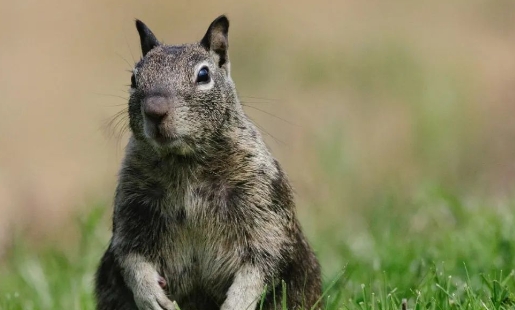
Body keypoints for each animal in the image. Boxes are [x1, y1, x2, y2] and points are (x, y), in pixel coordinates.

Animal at [94, 15, 322, 310]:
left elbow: (263, 260)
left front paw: (237, 303)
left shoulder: (263, 206)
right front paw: (150, 295)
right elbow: (130, 256)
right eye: (134, 78)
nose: (155, 111)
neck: (184, 162)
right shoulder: (132, 208)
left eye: (203, 75)